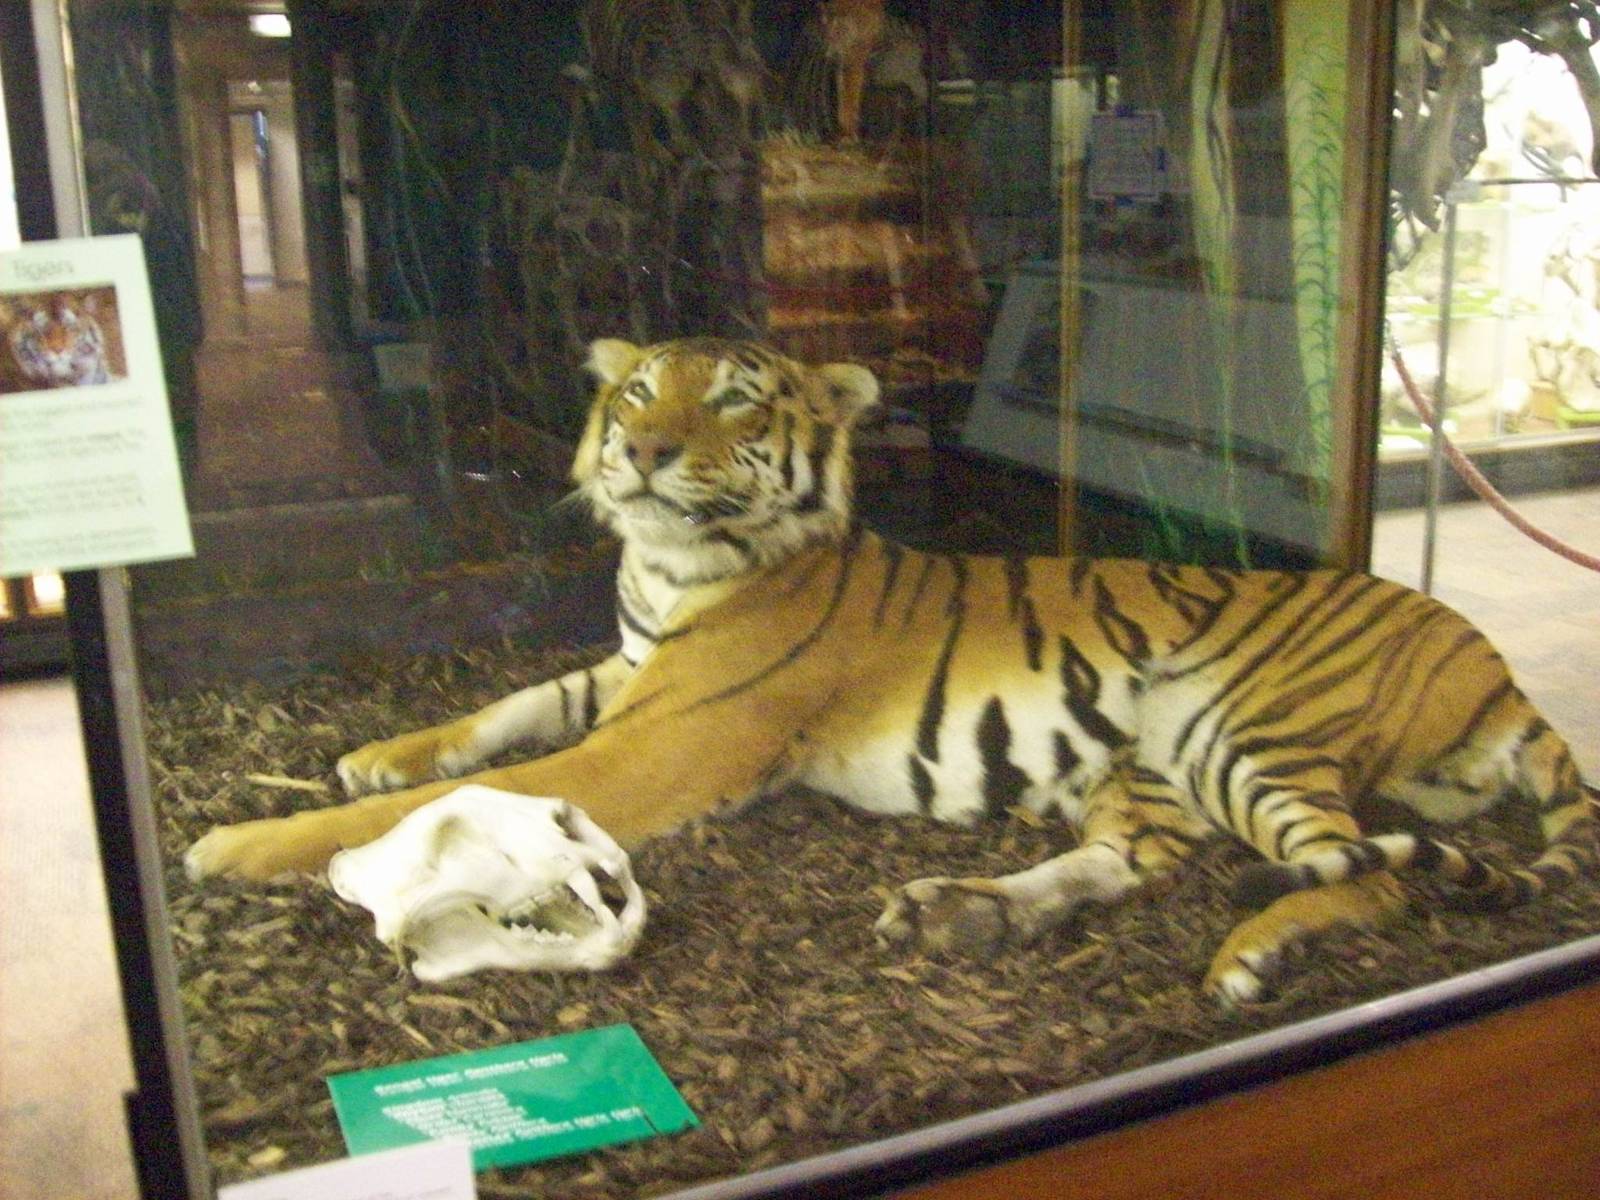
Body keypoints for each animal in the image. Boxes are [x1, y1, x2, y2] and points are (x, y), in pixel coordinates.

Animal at [185, 335, 1597, 1004]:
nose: (639, 449)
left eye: (732, 403)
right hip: (1140, 765)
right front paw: (376, 749)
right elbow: (500, 705)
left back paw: (1244, 960)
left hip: (1244, 730)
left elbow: (455, 798)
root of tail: (1492, 664)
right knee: (1138, 862)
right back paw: (966, 913)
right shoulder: (627, 674)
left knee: (1368, 879)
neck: (667, 567)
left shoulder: (656, 739)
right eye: (636, 392)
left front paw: (240, 845)